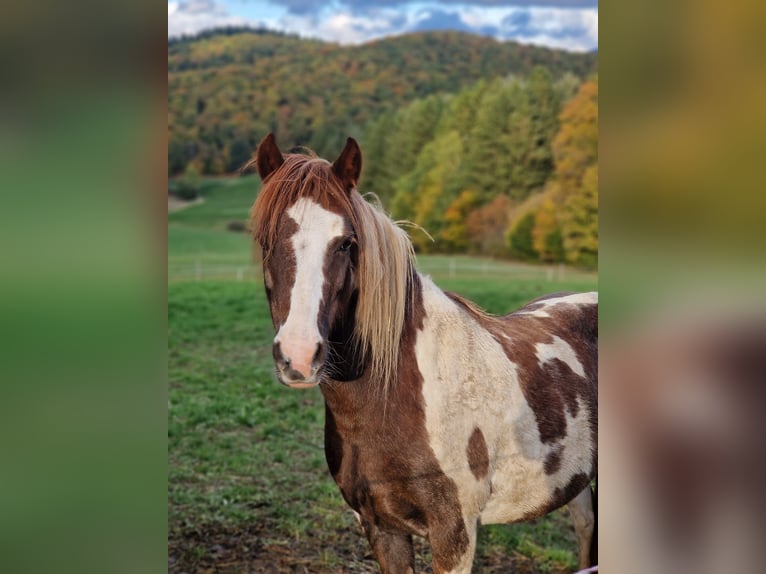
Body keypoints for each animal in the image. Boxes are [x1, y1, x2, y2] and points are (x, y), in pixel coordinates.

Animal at [249, 133, 598, 574]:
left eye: (346, 243)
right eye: (265, 240)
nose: (298, 355)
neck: (398, 396)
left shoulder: (454, 534)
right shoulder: (381, 527)